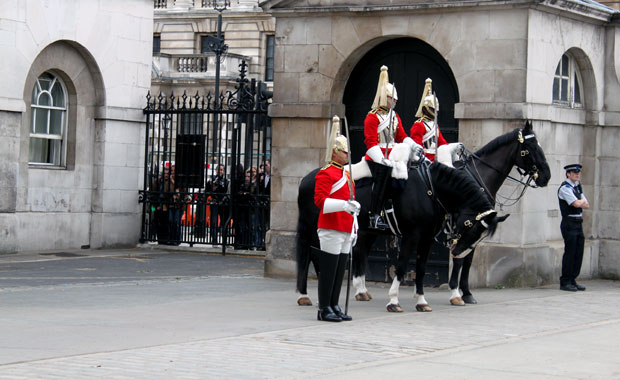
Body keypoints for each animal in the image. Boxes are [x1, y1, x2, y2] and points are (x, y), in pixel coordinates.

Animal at [296, 154, 508, 312]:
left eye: (481, 234)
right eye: (470, 225)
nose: (457, 253)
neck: (430, 189)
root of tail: (306, 179)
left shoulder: (426, 238)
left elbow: (421, 268)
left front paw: (421, 301)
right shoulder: (410, 236)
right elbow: (401, 266)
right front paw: (394, 301)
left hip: (364, 231)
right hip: (318, 228)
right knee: (314, 254)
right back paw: (307, 295)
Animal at [446, 120, 552, 304]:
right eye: (531, 146)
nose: (546, 176)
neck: (478, 179)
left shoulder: (477, 227)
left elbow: (468, 259)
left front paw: (467, 292)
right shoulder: (462, 225)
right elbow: (459, 259)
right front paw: (455, 292)